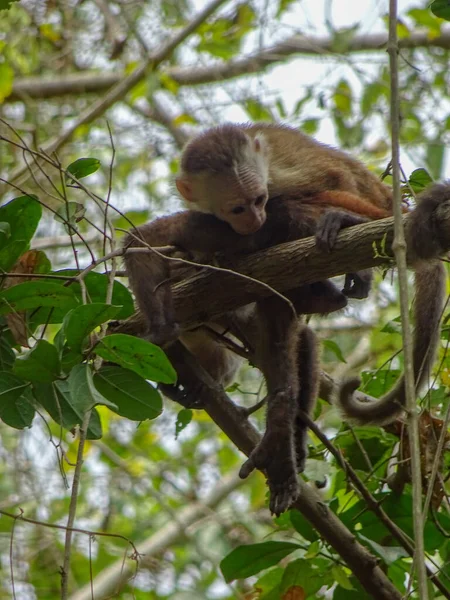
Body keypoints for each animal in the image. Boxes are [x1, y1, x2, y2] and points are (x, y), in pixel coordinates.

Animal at [123, 123, 450, 516]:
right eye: (237, 207)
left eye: (256, 200)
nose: (254, 219)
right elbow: (143, 242)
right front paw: (163, 332)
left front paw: (280, 435)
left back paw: (351, 223)